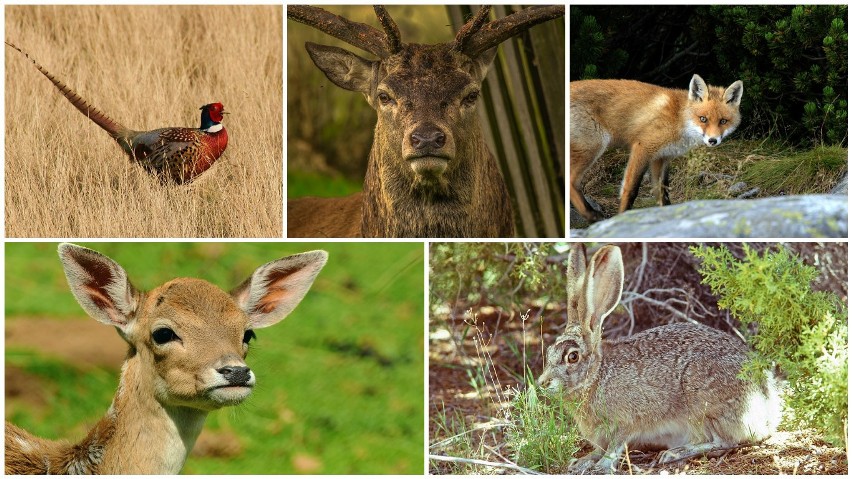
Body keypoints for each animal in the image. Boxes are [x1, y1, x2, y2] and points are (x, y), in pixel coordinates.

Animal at [572, 73, 744, 223]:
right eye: (703, 119)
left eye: (723, 121)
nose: (712, 140)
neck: (679, 119)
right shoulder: (643, 148)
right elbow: (630, 190)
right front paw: (622, 217)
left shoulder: (661, 158)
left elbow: (663, 194)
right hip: (593, 147)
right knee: (571, 181)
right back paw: (591, 215)